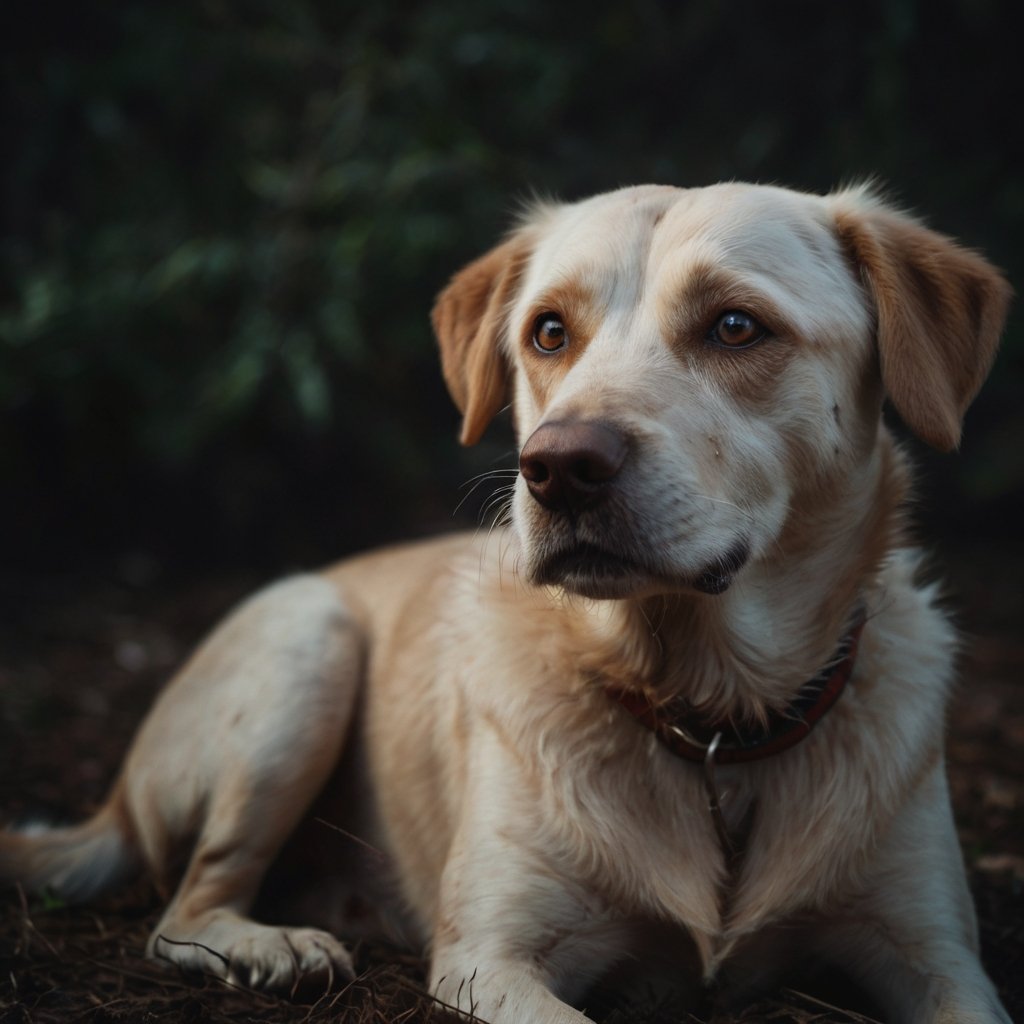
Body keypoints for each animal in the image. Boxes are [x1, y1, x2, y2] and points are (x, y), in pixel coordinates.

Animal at [0, 186, 1011, 1024]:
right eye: (549, 333)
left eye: (735, 326)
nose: (558, 467)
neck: (710, 721)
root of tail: (113, 802)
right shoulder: (493, 957)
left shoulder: (939, 955)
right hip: (306, 645)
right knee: (185, 907)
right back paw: (273, 946)